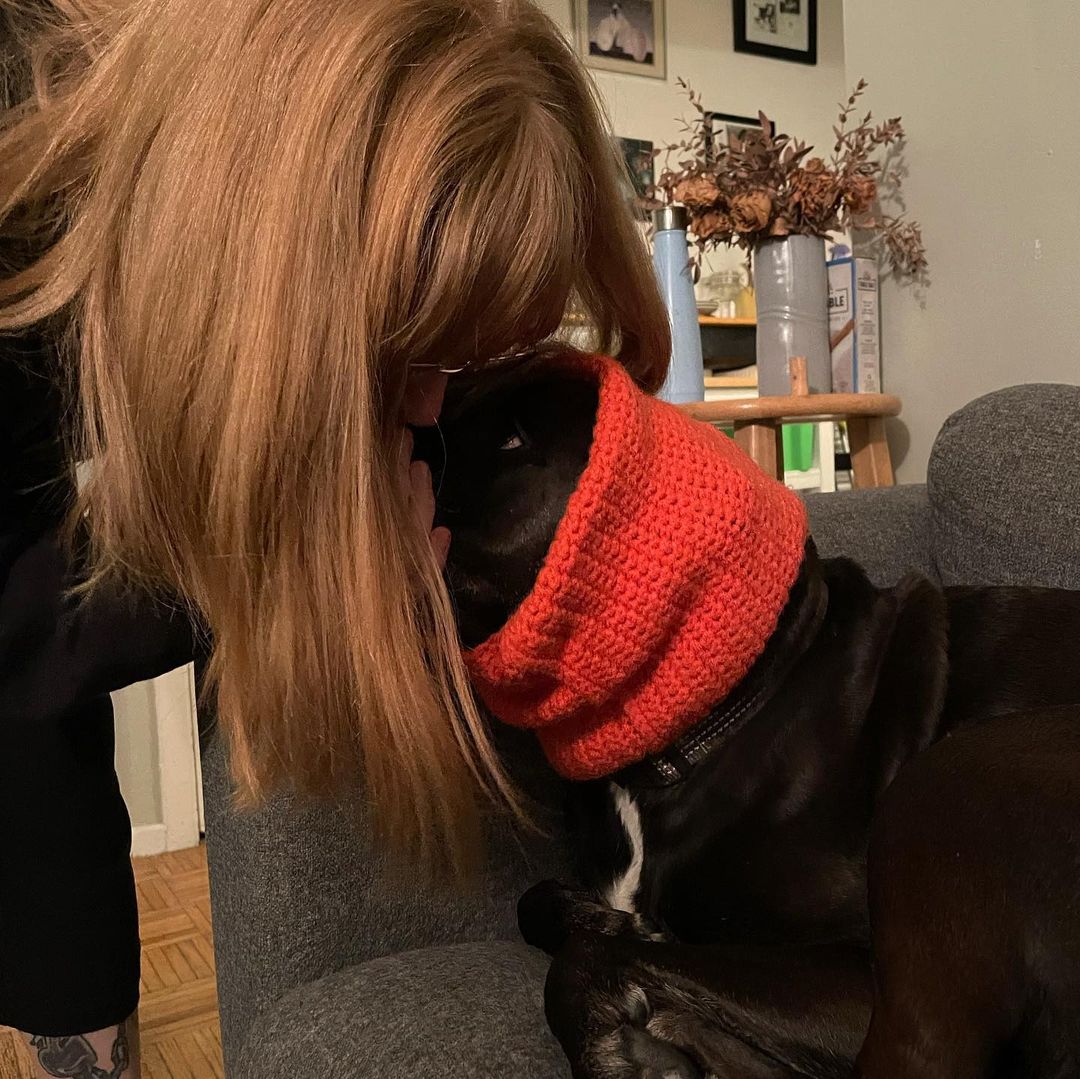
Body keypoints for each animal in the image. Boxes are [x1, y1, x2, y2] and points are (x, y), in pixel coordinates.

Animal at [426, 356, 1080, 1078]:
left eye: (513, 440)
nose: (411, 435)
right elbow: (547, 906)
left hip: (949, 784)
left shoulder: (856, 977)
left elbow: (589, 956)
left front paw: (618, 1047)